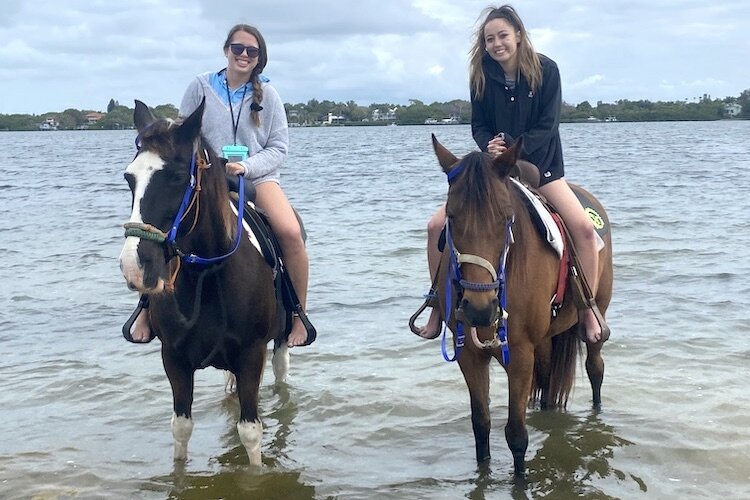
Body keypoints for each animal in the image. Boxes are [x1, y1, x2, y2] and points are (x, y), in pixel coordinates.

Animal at [119, 99, 290, 466]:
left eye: (177, 176)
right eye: (129, 178)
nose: (134, 266)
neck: (207, 276)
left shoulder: (251, 354)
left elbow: (250, 433)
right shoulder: (174, 358)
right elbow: (181, 428)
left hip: (281, 340)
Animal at [432, 135, 612, 478]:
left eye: (505, 218)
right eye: (451, 216)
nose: (479, 309)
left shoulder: (519, 355)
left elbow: (516, 434)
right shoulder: (469, 355)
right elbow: (481, 425)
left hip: (596, 317)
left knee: (595, 369)